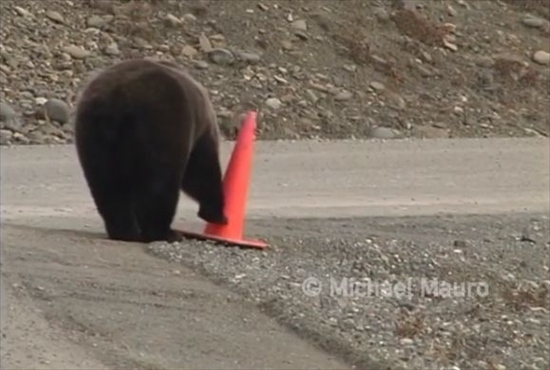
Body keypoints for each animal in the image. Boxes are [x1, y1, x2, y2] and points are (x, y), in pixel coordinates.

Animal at [74, 57, 229, 243]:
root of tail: (118, 98)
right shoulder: (199, 132)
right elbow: (200, 172)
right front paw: (218, 214)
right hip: (161, 123)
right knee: (160, 183)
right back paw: (165, 232)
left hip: (94, 135)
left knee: (106, 184)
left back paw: (125, 232)